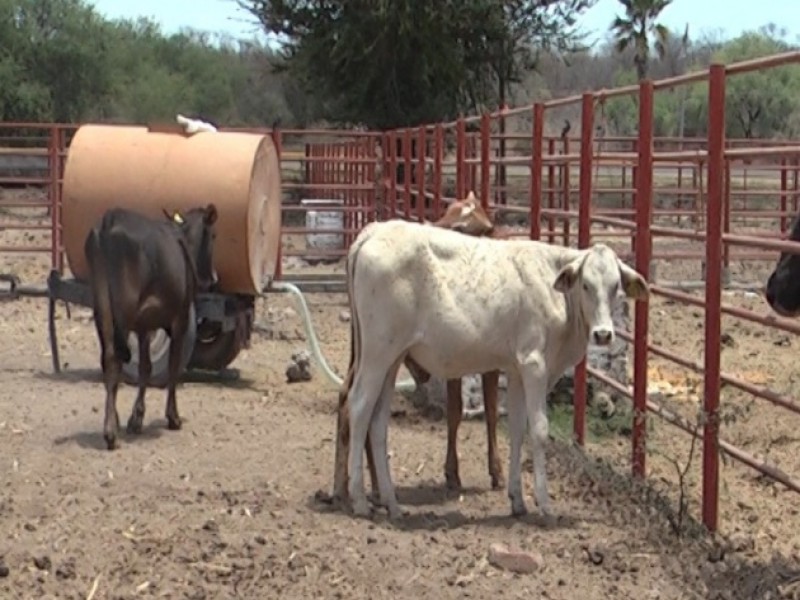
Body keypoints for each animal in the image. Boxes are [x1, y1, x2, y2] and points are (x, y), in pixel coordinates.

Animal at [84, 204, 219, 448]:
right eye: (214, 235)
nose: (213, 278)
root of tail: (110, 219)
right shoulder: (180, 319)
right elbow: (174, 365)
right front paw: (173, 417)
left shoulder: (144, 325)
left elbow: (145, 367)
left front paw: (136, 418)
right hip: (124, 307)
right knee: (116, 359)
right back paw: (111, 431)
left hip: (102, 306)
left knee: (108, 359)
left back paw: (113, 422)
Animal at [334, 218, 648, 516]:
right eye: (586, 285)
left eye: (616, 287)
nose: (603, 334)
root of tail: (374, 231)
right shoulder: (534, 364)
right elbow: (539, 429)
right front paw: (544, 503)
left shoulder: (517, 369)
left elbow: (517, 428)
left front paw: (517, 500)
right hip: (377, 355)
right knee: (359, 406)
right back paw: (360, 500)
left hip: (392, 359)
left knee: (377, 420)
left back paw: (391, 503)